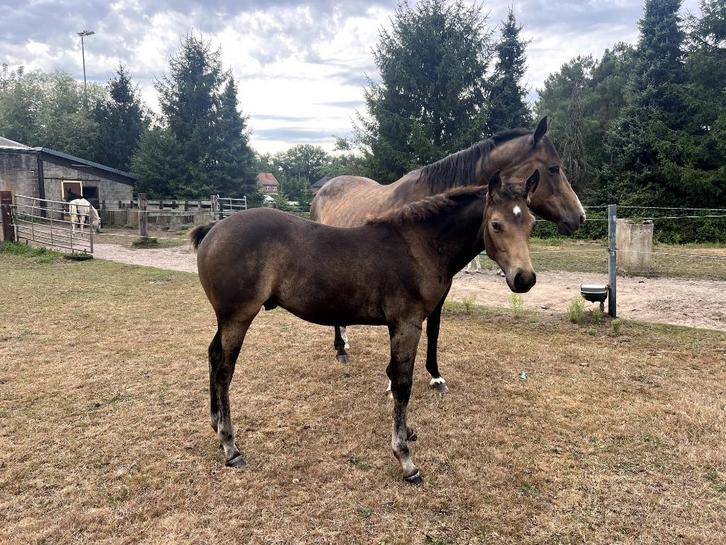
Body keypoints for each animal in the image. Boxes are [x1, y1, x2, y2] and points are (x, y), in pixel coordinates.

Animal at [192, 170, 539, 483]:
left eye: (531, 223)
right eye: (496, 224)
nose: (525, 279)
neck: (419, 246)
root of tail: (213, 228)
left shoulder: (401, 325)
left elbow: (395, 378)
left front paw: (408, 432)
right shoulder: (407, 323)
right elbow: (402, 384)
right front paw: (405, 460)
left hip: (226, 318)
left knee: (213, 355)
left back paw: (215, 424)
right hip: (238, 317)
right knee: (224, 371)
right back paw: (230, 446)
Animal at [310, 117, 585, 394]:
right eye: (554, 168)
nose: (580, 216)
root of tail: (324, 188)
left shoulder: (442, 285)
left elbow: (434, 328)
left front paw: (435, 375)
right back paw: (340, 349)